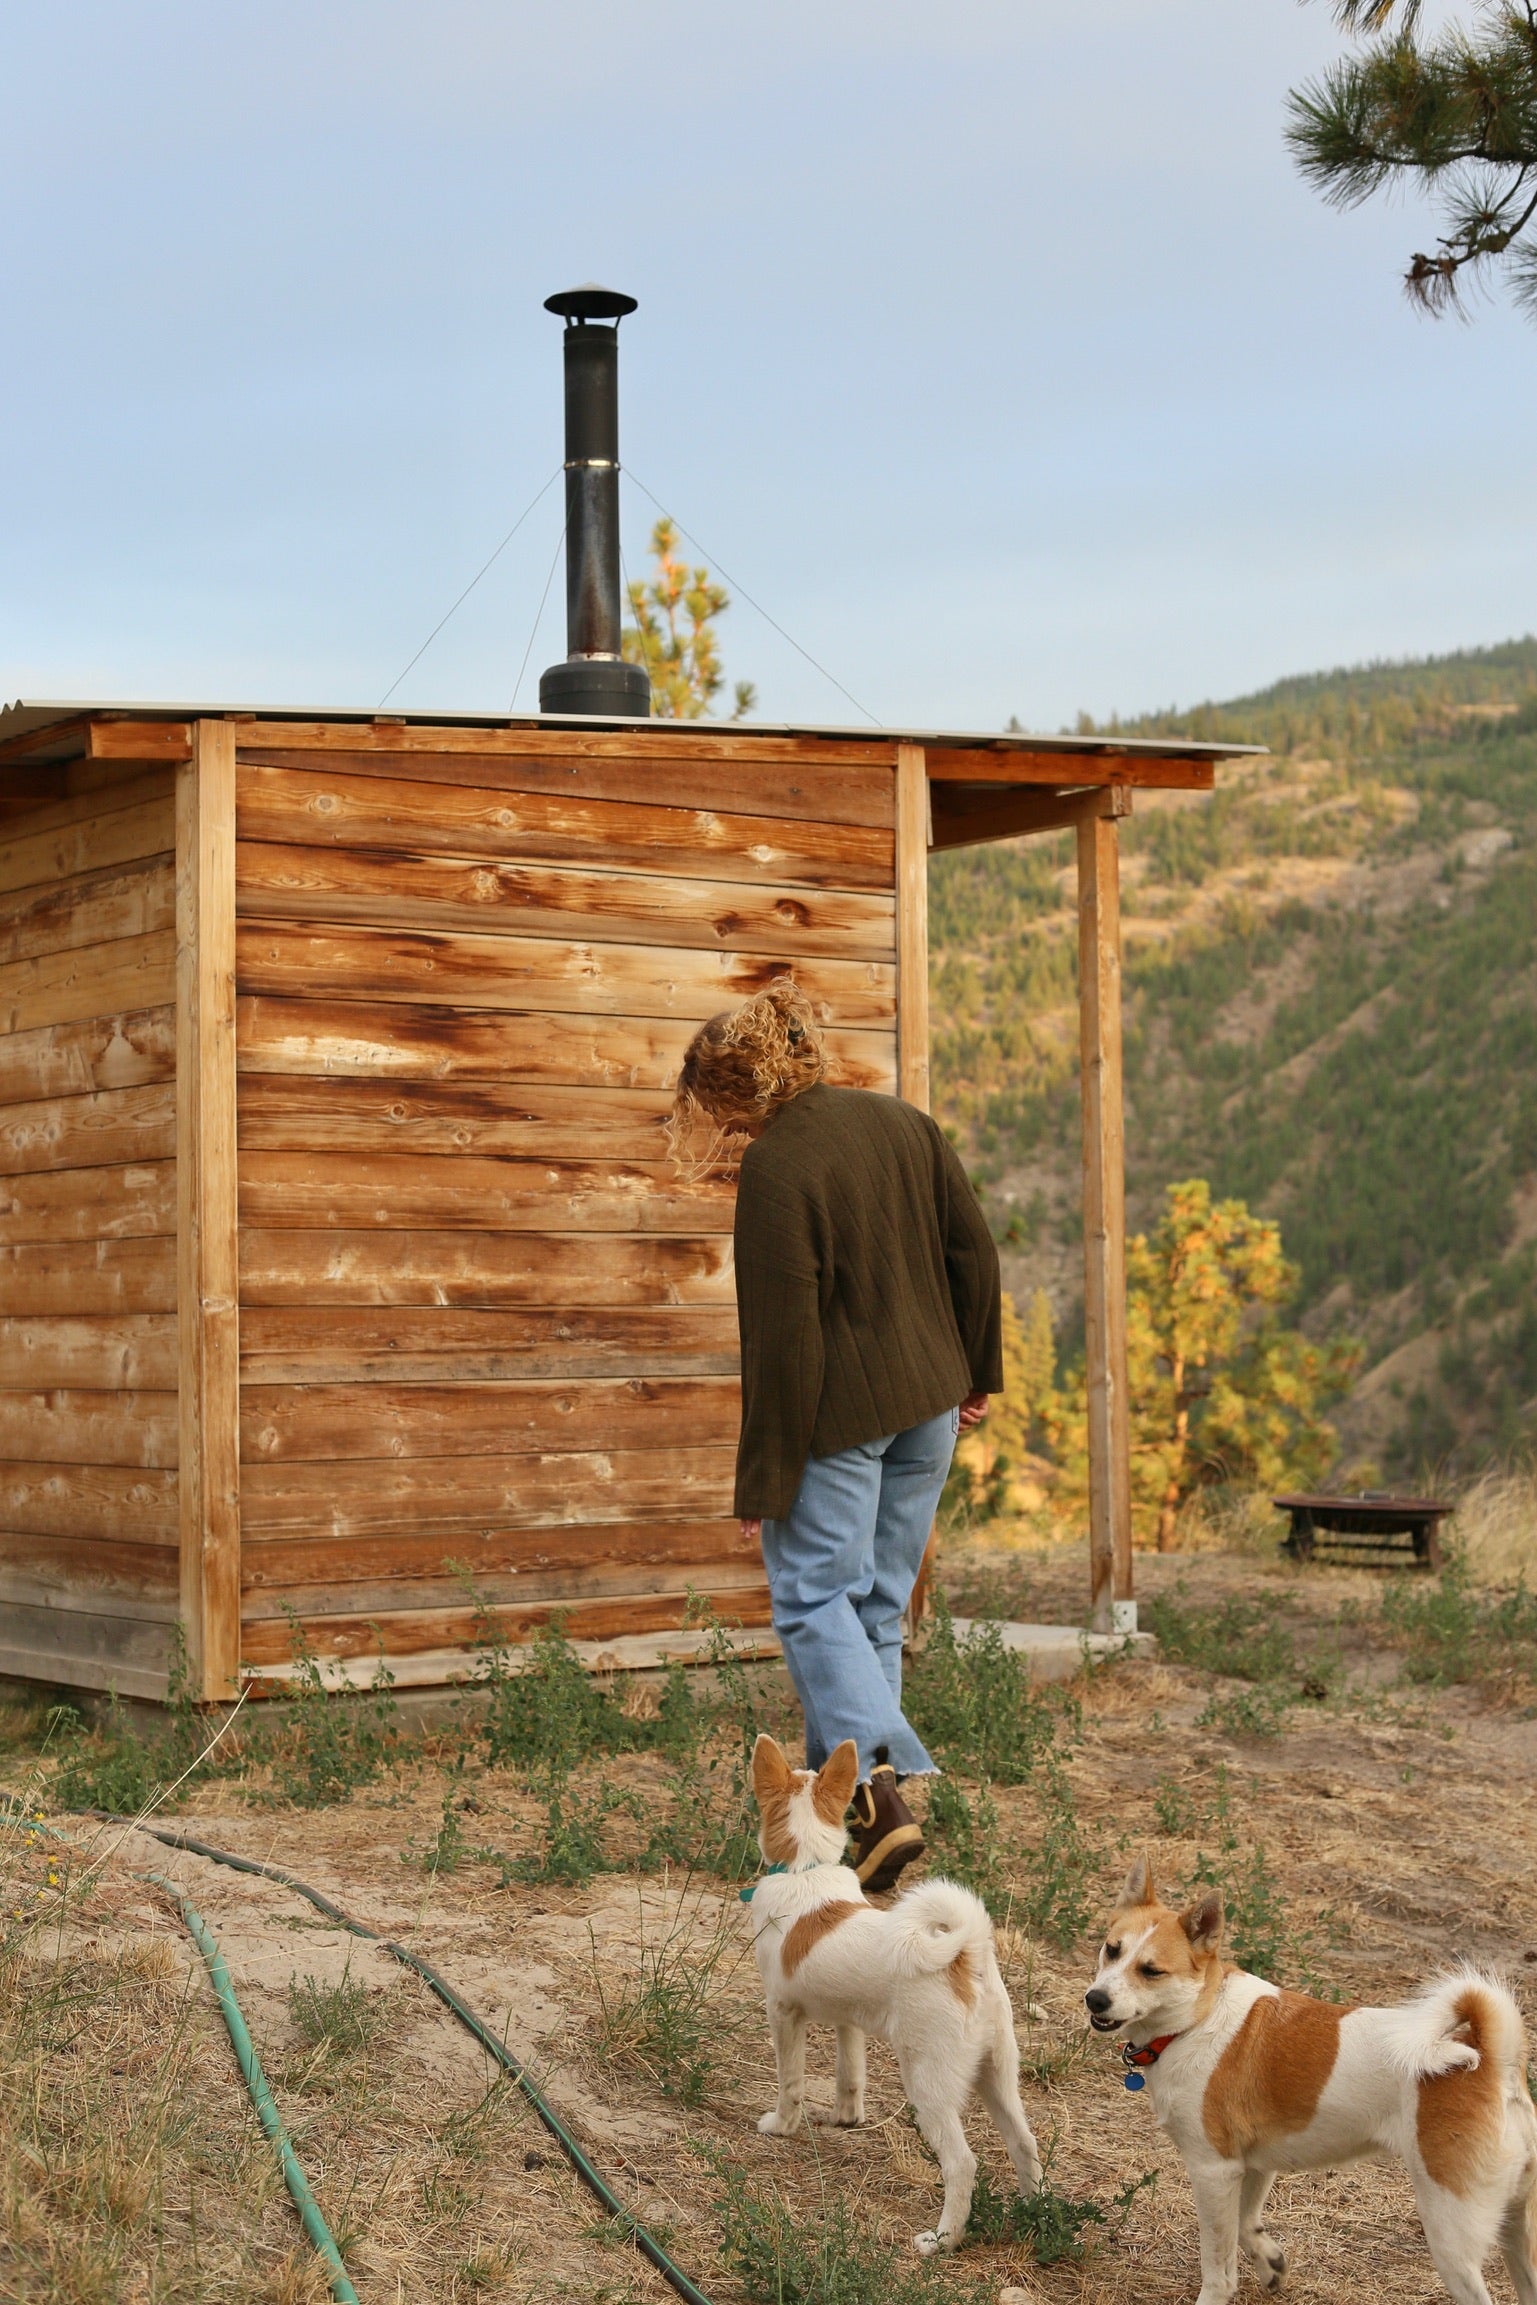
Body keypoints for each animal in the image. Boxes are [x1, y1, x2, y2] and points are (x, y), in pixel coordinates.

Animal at [746, 1733, 1046, 2249]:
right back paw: (1036, 2217)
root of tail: (967, 1955)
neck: (806, 1868)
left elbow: (791, 2082)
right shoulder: (848, 2021)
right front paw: (846, 2117)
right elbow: (850, 2073)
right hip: (998, 2076)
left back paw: (942, 2240)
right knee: (1024, 2144)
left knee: (962, 2163)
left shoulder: (782, 2013)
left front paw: (781, 2126)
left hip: (929, 2083)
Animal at [1083, 1853, 1537, 2305]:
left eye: (1151, 1971)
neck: (1199, 2018)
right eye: (1112, 1950)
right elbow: (1248, 2227)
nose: (1095, 1999)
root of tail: (1495, 2061)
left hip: (1450, 2234)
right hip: (1517, 2232)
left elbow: (1218, 2269)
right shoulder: (1253, 2165)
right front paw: (1270, 2264)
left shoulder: (1213, 2171)